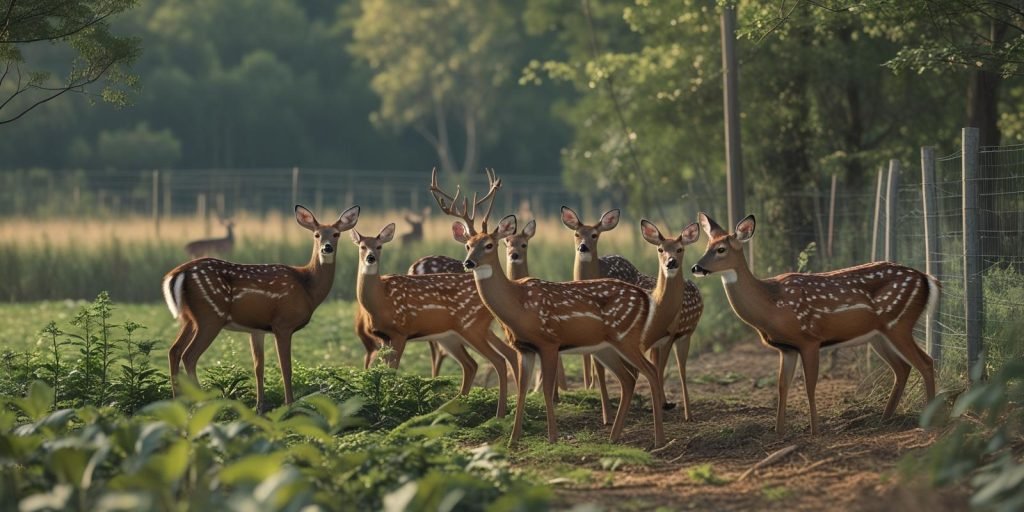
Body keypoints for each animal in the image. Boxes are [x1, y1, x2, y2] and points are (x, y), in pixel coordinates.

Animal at [162, 205, 360, 412]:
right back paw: (204, 403)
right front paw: (289, 405)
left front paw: (259, 408)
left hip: (190, 318)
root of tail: (177, 273)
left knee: (174, 351)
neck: (308, 287)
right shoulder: (283, 323)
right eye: (317, 234)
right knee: (189, 355)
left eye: (336, 234)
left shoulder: (257, 329)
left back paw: (178, 403)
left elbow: (259, 367)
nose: (327, 247)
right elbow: (286, 366)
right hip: (210, 315)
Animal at [351, 185, 519, 418]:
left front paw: (390, 404)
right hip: (457, 334)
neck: (380, 300)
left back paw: (497, 413)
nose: (370, 258)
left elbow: (392, 371)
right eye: (361, 246)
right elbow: (383, 371)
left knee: (497, 360)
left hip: (471, 327)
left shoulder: (401, 332)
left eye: (379, 246)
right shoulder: (383, 337)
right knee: (481, 361)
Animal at [434, 169, 667, 447]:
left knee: (650, 372)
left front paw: (553, 437)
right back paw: (614, 436)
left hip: (626, 337)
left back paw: (658, 439)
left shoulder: (549, 342)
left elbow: (546, 389)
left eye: (489, 244)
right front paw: (513, 439)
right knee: (629, 378)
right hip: (606, 346)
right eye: (468, 245)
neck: (518, 306)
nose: (468, 262)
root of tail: (644, 298)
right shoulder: (524, 347)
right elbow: (521, 390)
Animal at [690, 212, 938, 435]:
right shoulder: (787, 348)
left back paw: (929, 419)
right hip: (878, 335)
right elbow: (782, 386)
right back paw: (883, 420)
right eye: (707, 246)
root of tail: (926, 279)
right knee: (903, 368)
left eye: (721, 249)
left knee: (926, 362)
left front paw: (815, 431)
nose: (696, 268)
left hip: (899, 323)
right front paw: (779, 432)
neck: (772, 306)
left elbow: (810, 386)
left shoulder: (809, 340)